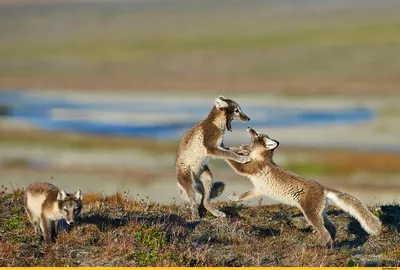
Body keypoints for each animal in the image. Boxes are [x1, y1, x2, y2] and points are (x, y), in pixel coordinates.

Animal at [225, 127, 382, 248]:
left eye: (257, 134)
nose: (249, 127)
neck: (261, 158)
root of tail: (323, 188)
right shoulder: (258, 189)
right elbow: (244, 195)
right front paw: (234, 198)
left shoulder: (247, 170)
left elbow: (232, 161)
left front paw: (223, 149)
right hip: (320, 213)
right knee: (332, 228)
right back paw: (333, 245)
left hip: (310, 214)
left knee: (325, 232)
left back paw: (322, 248)